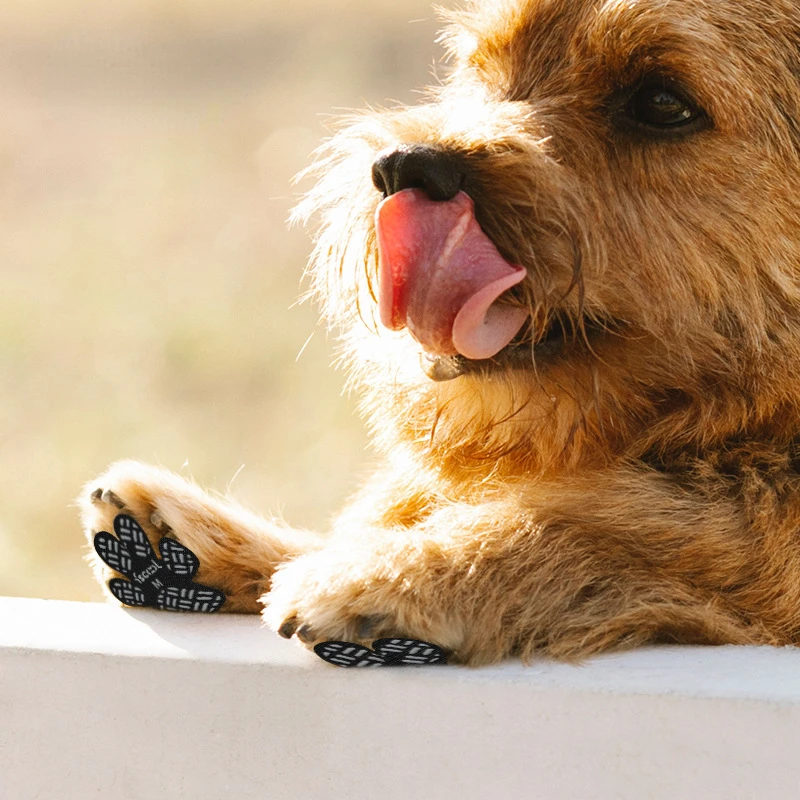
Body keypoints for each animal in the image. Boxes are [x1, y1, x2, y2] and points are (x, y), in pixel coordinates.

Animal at [79, 0, 800, 664]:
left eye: (661, 102)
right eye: (477, 68)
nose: (405, 166)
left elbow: (668, 526)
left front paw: (398, 572)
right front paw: (215, 546)